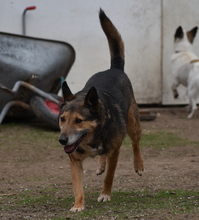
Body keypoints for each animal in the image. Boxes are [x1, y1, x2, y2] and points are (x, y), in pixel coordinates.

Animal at [58, 8, 144, 211]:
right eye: (62, 119)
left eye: (79, 121)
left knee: (136, 143)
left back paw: (138, 164)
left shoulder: (115, 152)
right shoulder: (74, 161)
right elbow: (78, 186)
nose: (62, 140)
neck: (92, 136)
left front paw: (105, 194)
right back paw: (99, 164)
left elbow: (109, 176)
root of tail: (114, 69)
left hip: (133, 124)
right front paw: (78, 205)